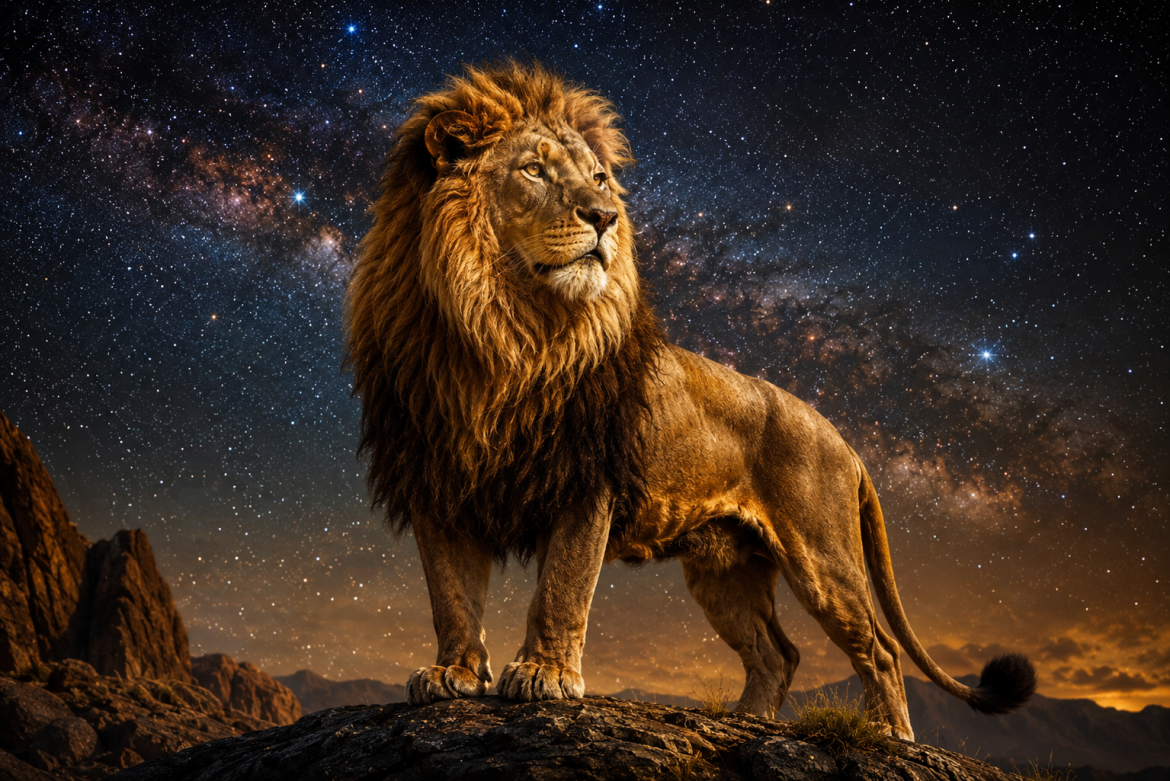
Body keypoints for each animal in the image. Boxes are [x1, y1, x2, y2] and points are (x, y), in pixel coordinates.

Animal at [344, 61, 1035, 741]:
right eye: (534, 170)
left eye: (599, 178)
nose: (605, 217)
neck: (502, 332)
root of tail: (846, 441)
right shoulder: (435, 480)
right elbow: (451, 597)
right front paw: (453, 675)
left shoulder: (586, 481)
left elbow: (562, 588)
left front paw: (545, 676)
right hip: (724, 571)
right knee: (778, 654)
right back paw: (746, 721)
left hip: (822, 558)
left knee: (880, 650)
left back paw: (890, 737)